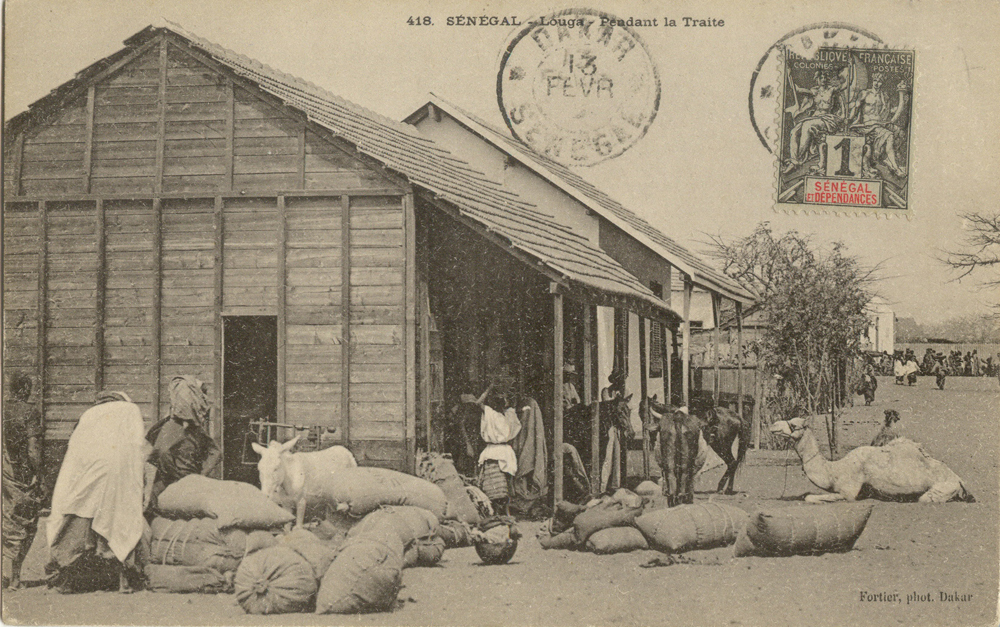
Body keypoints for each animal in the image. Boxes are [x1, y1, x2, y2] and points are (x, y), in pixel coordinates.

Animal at [768, 420, 972, 502]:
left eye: (793, 424)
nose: (773, 426)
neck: (834, 470)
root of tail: (960, 480)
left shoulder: (848, 492)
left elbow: (810, 497)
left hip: (942, 488)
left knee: (925, 499)